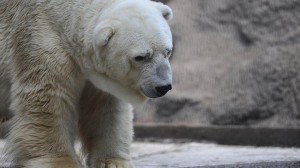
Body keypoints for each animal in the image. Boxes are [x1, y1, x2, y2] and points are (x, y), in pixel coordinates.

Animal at [0, 0, 172, 167]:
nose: (163, 86)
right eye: (140, 57)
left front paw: (113, 162)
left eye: (168, 51)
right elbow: (49, 98)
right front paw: (61, 162)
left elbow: (105, 106)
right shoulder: (40, 37)